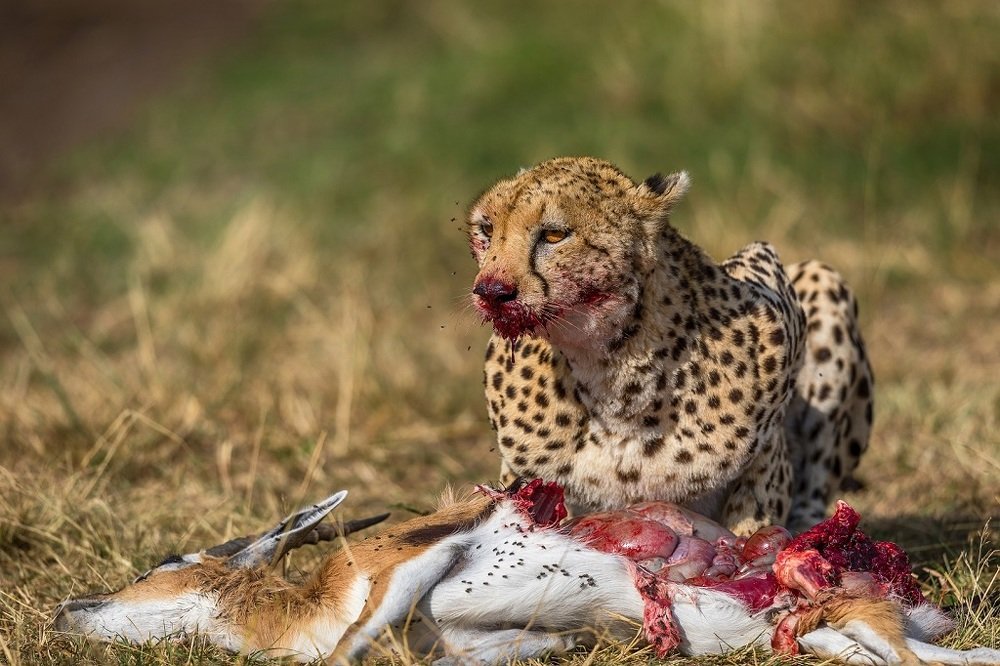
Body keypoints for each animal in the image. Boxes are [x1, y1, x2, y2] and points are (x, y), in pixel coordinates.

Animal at [467, 156, 873, 535]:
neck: (614, 377)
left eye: (553, 235)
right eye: (487, 229)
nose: (491, 291)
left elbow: (753, 514)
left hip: (823, 279)